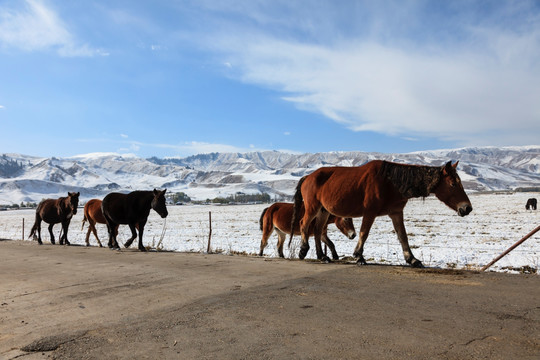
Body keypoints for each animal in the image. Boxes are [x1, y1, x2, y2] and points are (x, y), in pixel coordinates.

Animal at [292, 161, 472, 268]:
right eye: (453, 183)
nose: (467, 208)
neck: (391, 181)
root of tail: (308, 176)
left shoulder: (396, 213)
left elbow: (403, 236)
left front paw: (412, 259)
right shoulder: (370, 212)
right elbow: (364, 234)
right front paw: (359, 256)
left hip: (323, 210)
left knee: (317, 230)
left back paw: (322, 256)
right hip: (313, 207)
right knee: (304, 224)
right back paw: (303, 250)